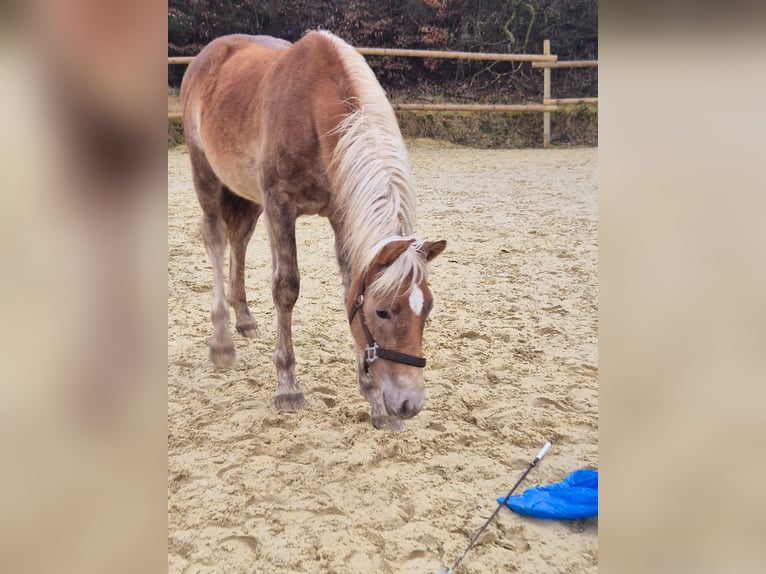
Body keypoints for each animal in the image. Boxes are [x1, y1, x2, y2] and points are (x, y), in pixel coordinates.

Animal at [182, 29, 448, 430]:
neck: (312, 111)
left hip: (249, 195)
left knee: (239, 240)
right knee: (215, 241)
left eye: (427, 309)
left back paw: (244, 319)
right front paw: (287, 387)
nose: (409, 403)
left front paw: (374, 400)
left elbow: (348, 288)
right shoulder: (280, 205)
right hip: (207, 176)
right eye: (383, 312)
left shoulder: (340, 213)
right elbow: (286, 288)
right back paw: (223, 342)